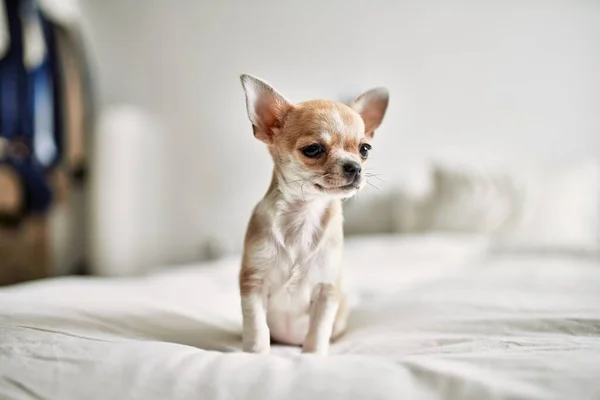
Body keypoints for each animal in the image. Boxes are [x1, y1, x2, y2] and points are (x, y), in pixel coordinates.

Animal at [239, 73, 390, 354]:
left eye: (364, 149)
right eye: (313, 149)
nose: (355, 167)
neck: (304, 213)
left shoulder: (326, 291)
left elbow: (317, 332)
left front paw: (313, 356)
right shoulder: (253, 284)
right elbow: (256, 329)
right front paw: (256, 354)